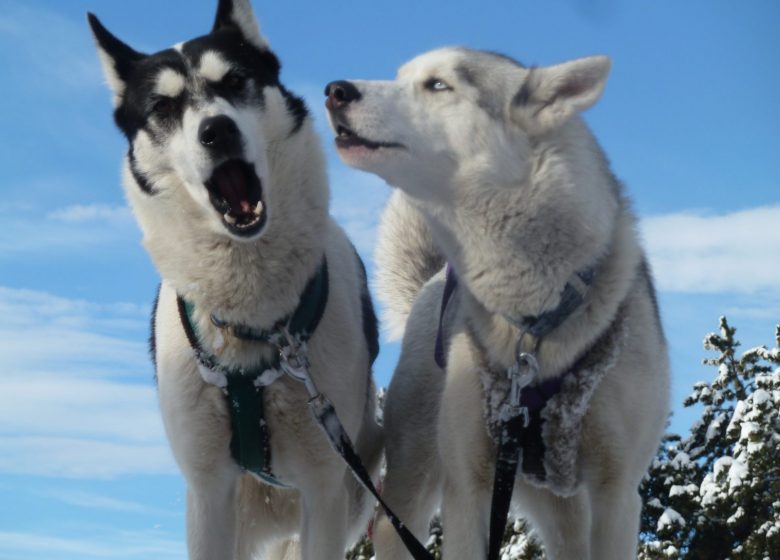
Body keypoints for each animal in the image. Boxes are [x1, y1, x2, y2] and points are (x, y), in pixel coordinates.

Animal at [87, 1, 380, 560]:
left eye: (237, 80)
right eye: (162, 106)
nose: (217, 130)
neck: (256, 322)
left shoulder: (325, 486)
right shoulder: (208, 493)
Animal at [322, 49, 672, 560]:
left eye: (438, 84)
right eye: (401, 75)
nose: (335, 90)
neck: (535, 324)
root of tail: (434, 279)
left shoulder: (617, 492)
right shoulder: (470, 487)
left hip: (563, 508)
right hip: (420, 466)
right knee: (393, 526)